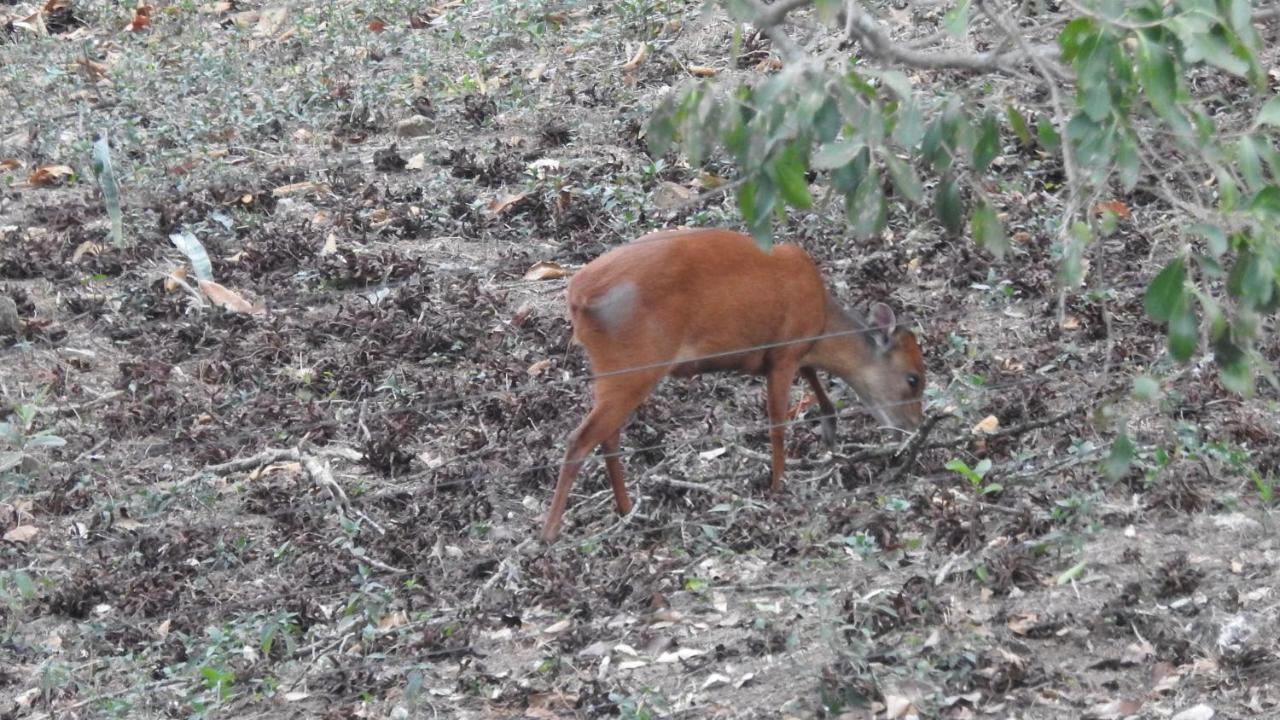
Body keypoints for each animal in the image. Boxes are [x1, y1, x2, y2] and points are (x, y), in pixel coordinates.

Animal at [542, 228, 931, 538]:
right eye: (913, 379)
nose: (914, 427)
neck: (822, 320)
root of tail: (577, 296)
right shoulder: (784, 352)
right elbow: (777, 425)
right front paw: (777, 487)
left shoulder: (791, 353)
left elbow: (813, 380)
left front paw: (829, 428)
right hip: (633, 365)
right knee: (581, 440)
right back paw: (551, 532)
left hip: (614, 370)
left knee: (607, 437)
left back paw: (625, 510)